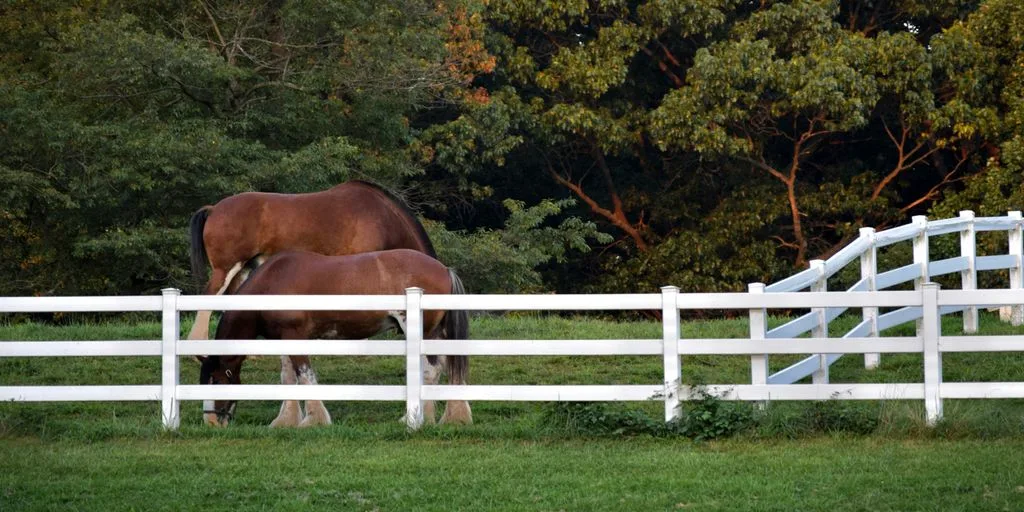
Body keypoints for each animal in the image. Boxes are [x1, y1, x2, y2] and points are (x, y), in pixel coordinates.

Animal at [198, 249, 471, 428]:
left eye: (217, 380)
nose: (210, 420)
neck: (272, 284)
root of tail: (443, 269)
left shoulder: (296, 337)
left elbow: (305, 376)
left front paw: (314, 420)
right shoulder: (284, 339)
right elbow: (288, 378)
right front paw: (286, 420)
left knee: (430, 370)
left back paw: (416, 418)